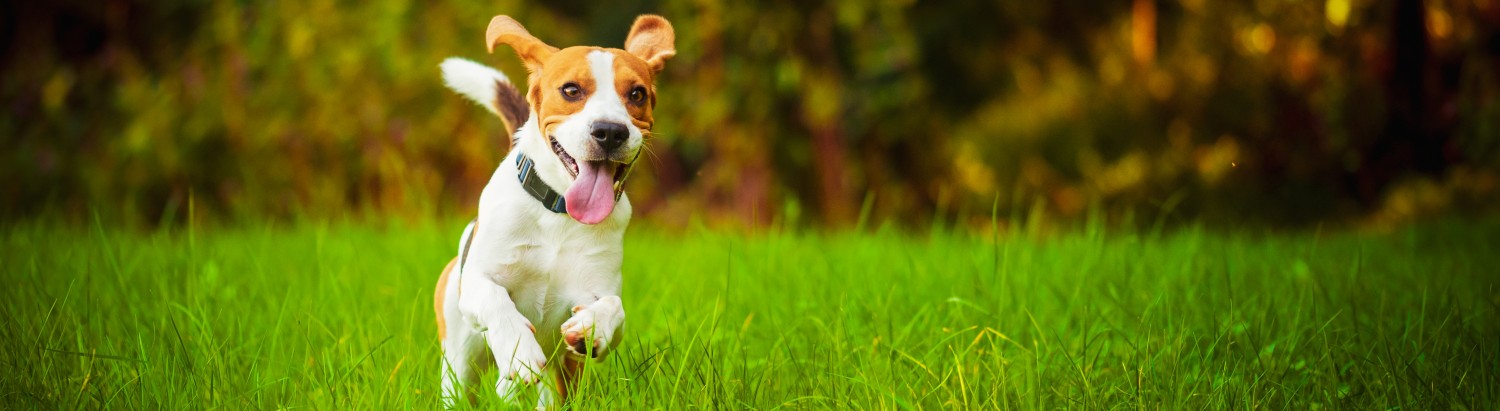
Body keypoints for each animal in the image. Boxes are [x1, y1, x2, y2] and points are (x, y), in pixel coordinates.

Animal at [432, 14, 672, 408]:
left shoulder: (595, 290)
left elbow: (613, 307)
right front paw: (520, 351)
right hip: (458, 359)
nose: (610, 131)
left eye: (637, 94)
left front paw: (591, 329)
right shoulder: (478, 284)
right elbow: (495, 297)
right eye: (571, 90)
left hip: (559, 378)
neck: (559, 213)